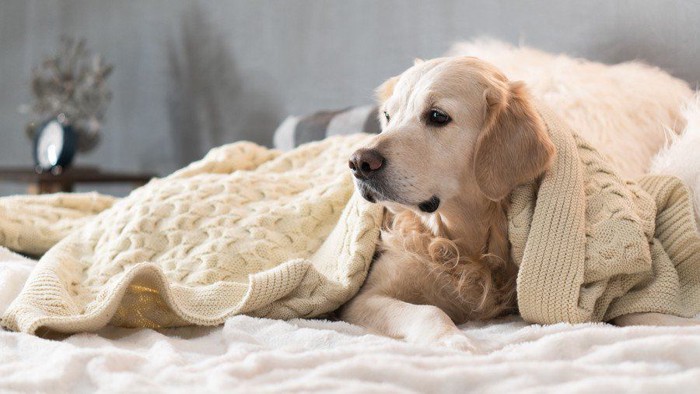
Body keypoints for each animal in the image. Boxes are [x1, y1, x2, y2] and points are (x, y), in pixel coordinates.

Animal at [336, 56, 696, 350]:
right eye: (387, 116)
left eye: (437, 116)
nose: (358, 162)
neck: (467, 238)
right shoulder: (362, 299)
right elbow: (429, 311)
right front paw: (454, 341)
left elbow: (635, 310)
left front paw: (675, 324)